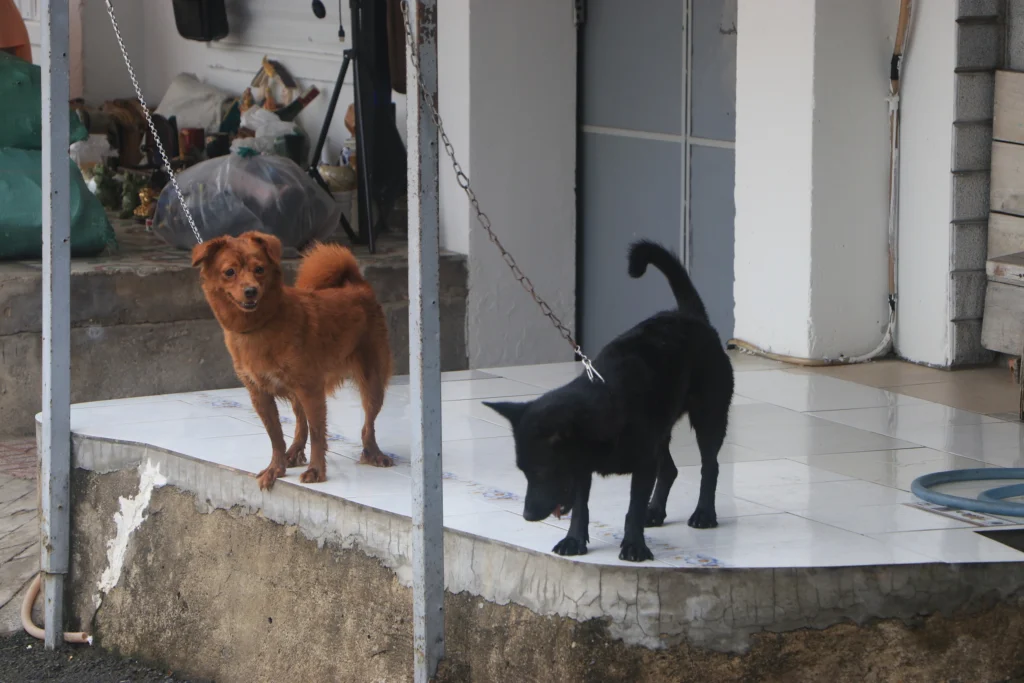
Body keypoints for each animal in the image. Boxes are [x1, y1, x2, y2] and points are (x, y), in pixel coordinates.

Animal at [192, 231, 394, 490]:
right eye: (229, 272)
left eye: (259, 269)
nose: (251, 291)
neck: (260, 326)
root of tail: (358, 285)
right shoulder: (260, 394)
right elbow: (276, 435)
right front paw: (276, 468)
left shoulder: (311, 389)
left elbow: (318, 433)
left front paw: (317, 471)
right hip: (299, 394)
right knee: (300, 423)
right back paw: (294, 452)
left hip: (372, 382)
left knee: (368, 424)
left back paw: (374, 454)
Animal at [484, 240, 733, 562]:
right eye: (523, 473)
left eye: (543, 471)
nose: (527, 516)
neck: (604, 409)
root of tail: (691, 316)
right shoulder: (583, 468)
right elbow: (581, 507)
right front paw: (574, 540)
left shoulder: (641, 463)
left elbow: (632, 509)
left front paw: (634, 545)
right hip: (662, 431)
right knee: (669, 469)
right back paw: (656, 511)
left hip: (709, 415)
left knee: (709, 466)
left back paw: (704, 513)